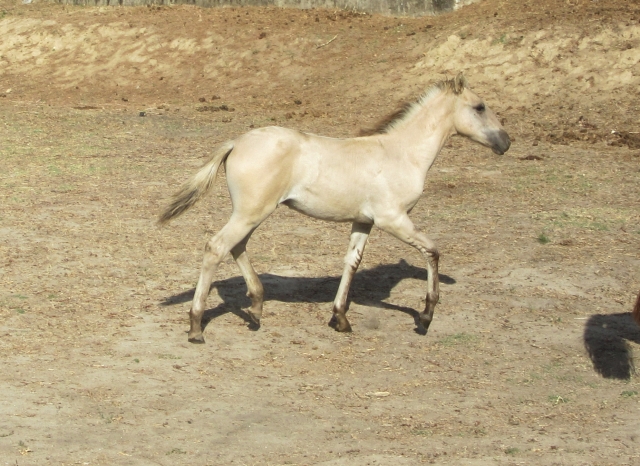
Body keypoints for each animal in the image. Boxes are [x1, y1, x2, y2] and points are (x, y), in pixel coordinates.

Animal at [159, 73, 510, 342]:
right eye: (479, 106)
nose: (506, 142)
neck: (401, 154)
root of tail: (236, 143)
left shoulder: (363, 221)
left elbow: (351, 262)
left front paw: (340, 317)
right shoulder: (393, 219)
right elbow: (432, 251)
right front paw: (425, 317)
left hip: (252, 213)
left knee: (236, 247)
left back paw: (257, 308)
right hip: (251, 213)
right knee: (216, 247)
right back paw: (196, 326)